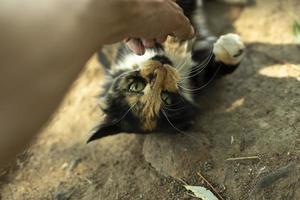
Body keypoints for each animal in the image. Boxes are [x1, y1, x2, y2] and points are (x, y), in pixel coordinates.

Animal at [87, 0, 246, 142]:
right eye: (166, 98)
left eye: (135, 86)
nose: (159, 71)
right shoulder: (197, 77)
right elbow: (218, 68)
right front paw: (231, 46)